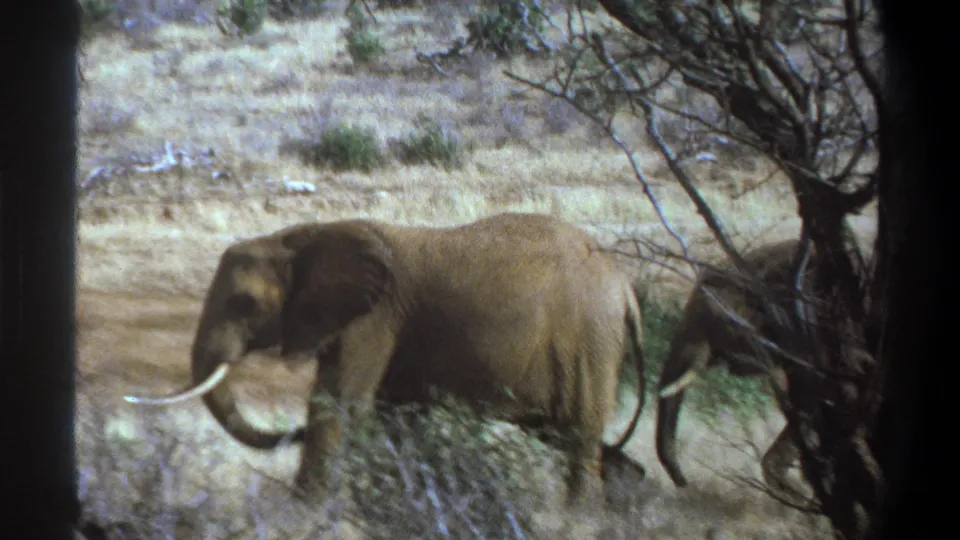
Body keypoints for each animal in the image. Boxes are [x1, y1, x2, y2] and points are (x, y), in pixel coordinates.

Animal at [125, 212, 648, 507]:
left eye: (243, 304)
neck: (301, 237)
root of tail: (625, 287)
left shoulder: (374, 318)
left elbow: (339, 405)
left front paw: (302, 514)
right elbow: (394, 417)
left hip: (587, 340)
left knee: (579, 437)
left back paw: (577, 518)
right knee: (575, 437)